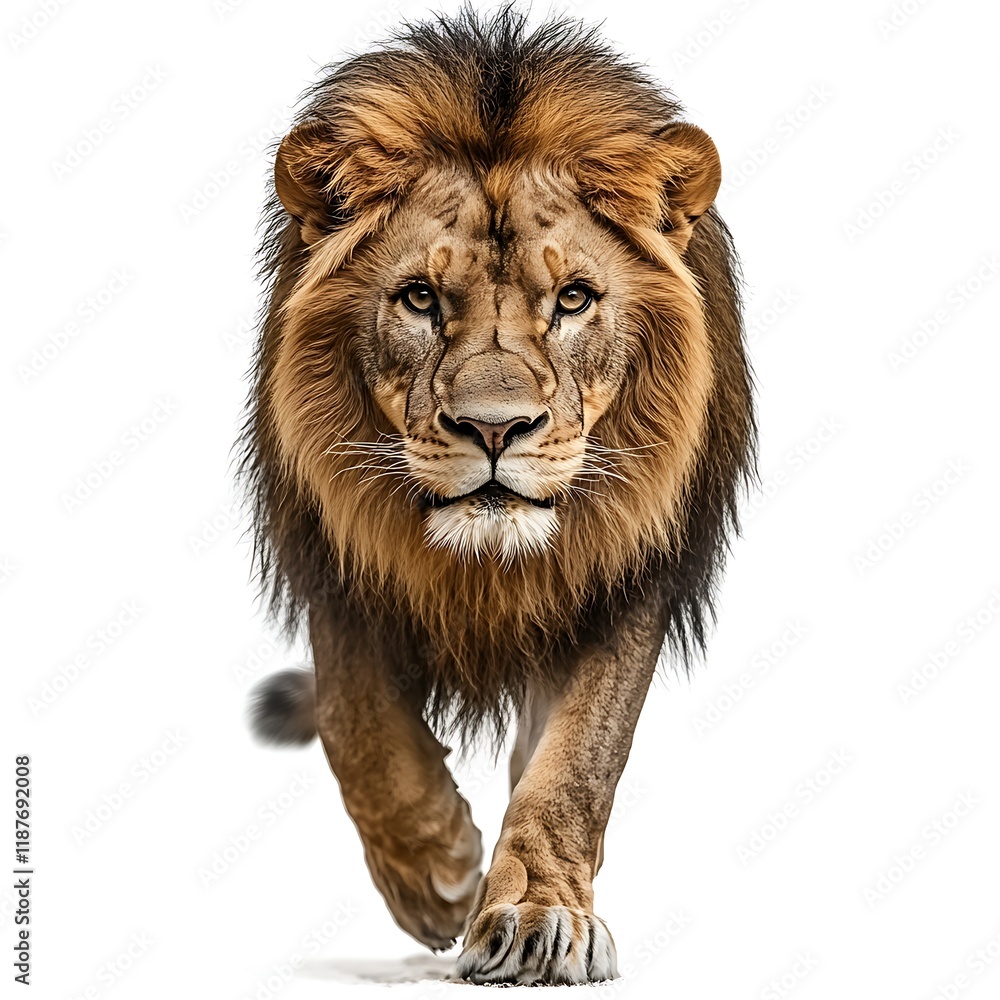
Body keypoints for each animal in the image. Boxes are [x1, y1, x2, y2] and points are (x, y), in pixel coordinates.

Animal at [239, 8, 755, 986]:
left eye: (575, 299)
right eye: (418, 298)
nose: (493, 428)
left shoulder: (624, 577)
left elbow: (577, 762)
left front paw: (535, 911)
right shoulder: (337, 557)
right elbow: (358, 723)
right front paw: (435, 867)